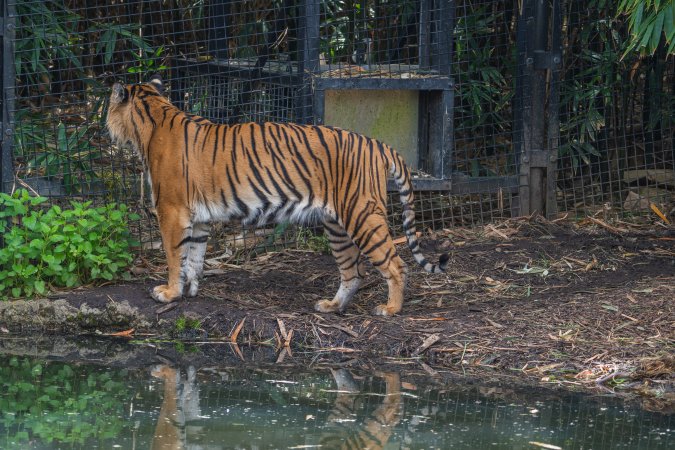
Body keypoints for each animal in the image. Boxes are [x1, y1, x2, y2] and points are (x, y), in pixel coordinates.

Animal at [106, 75, 448, 316]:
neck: (151, 116)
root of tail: (379, 143)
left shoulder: (172, 211)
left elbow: (175, 255)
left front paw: (169, 293)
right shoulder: (198, 218)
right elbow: (194, 257)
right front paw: (190, 291)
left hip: (362, 215)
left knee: (395, 265)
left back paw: (390, 309)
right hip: (337, 225)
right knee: (353, 271)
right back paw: (332, 306)